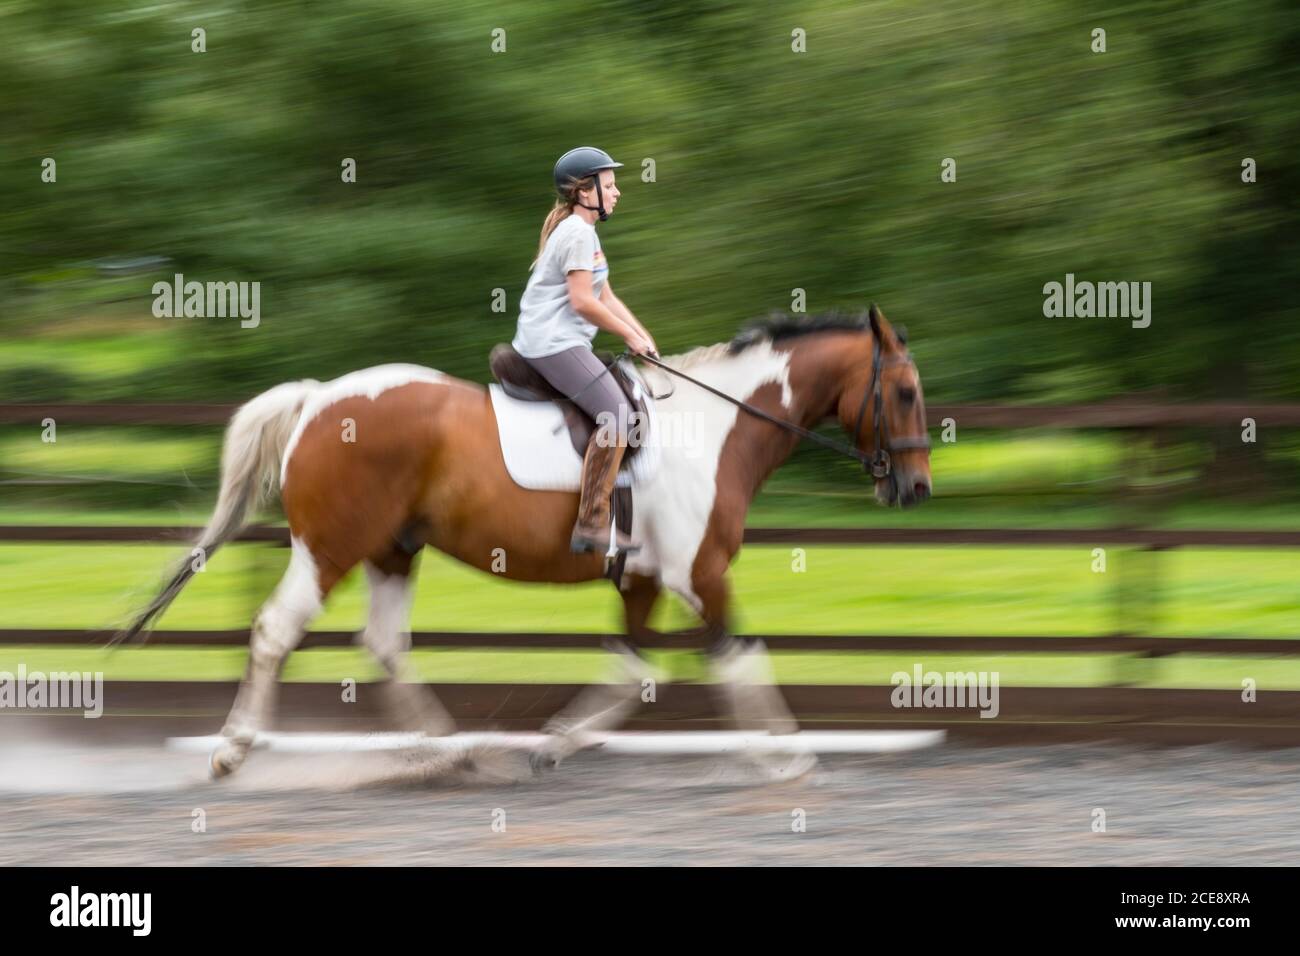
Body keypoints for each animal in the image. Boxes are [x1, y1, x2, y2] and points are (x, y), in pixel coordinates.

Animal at [122, 304, 932, 779]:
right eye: (905, 393)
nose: (916, 490)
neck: (717, 427)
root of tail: (320, 398)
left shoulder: (642, 578)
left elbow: (633, 667)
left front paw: (558, 741)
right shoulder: (697, 573)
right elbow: (741, 653)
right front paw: (788, 755)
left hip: (393, 550)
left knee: (383, 643)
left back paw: (450, 753)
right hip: (330, 549)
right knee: (274, 631)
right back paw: (233, 750)